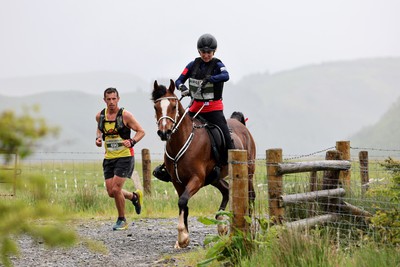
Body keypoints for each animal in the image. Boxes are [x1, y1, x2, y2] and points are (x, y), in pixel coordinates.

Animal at [150, 80, 256, 249]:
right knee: (226, 190)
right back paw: (221, 224)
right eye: (156, 107)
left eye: (173, 106)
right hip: (214, 177)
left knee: (251, 196)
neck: (181, 141)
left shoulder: (197, 179)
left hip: (248, 173)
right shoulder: (177, 182)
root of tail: (241, 124)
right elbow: (183, 204)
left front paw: (182, 236)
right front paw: (182, 239)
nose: (164, 133)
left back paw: (249, 227)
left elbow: (182, 201)